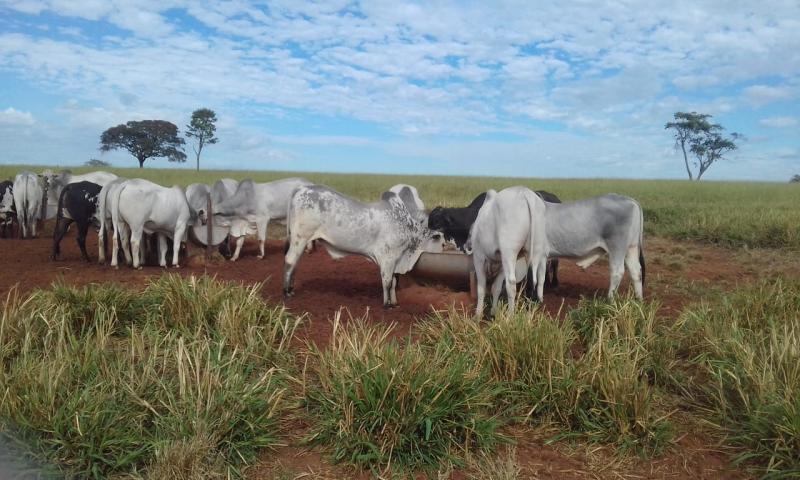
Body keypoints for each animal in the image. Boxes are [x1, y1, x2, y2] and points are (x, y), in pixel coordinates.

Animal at [282, 184, 446, 308]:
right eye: (441, 241)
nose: (444, 248)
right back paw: (286, 292)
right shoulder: (388, 258)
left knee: (295, 263)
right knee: (290, 261)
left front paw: (394, 302)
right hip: (300, 238)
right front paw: (387, 304)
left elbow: (393, 283)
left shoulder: (396, 261)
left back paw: (291, 289)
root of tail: (301, 188)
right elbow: (387, 282)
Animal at [468, 186, 552, 316]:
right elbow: (496, 288)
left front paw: (478, 314)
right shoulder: (501, 264)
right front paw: (493, 312)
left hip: (510, 252)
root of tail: (525, 193)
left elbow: (481, 288)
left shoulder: (479, 257)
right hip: (537, 250)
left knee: (511, 283)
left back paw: (510, 315)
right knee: (536, 278)